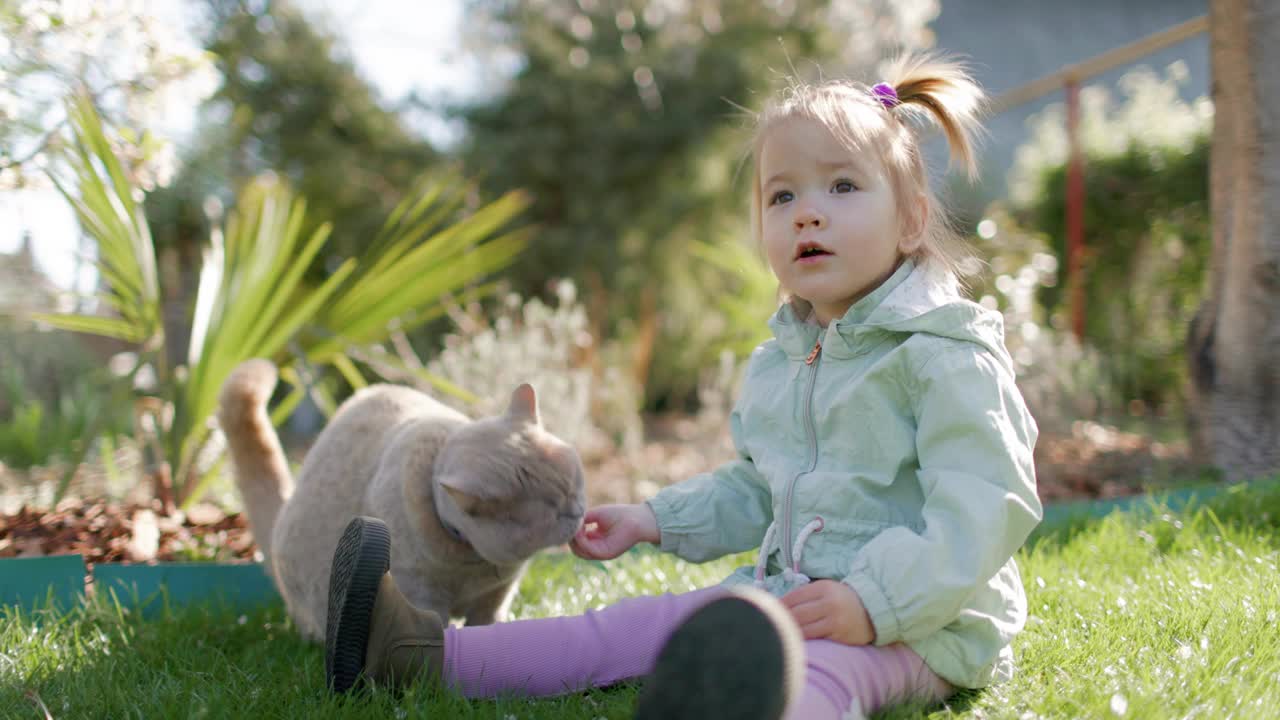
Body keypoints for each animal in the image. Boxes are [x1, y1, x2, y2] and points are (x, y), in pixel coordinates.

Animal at [217, 358, 586, 638]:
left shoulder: (497, 594)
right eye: (556, 512)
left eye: (574, 484)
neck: (473, 565)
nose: (579, 510)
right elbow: (435, 628)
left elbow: (488, 622)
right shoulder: (422, 594)